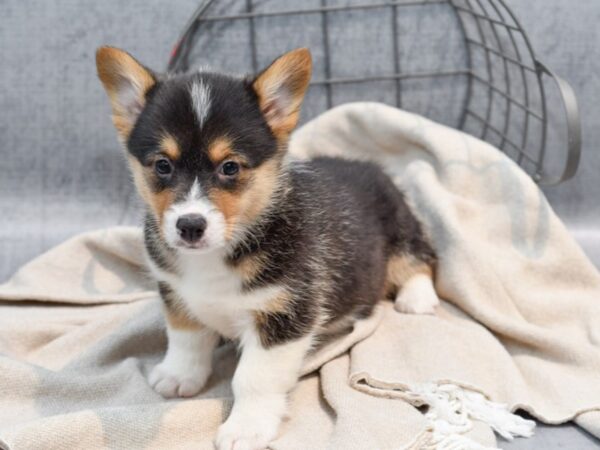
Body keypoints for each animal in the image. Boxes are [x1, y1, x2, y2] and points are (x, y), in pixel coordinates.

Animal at [97, 47, 436, 450]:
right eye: (162, 165)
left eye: (230, 167)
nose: (190, 226)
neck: (220, 253)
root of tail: (369, 166)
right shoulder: (176, 293)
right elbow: (185, 338)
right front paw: (179, 376)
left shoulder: (284, 316)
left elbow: (253, 379)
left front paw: (246, 428)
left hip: (400, 228)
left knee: (420, 259)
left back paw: (417, 299)